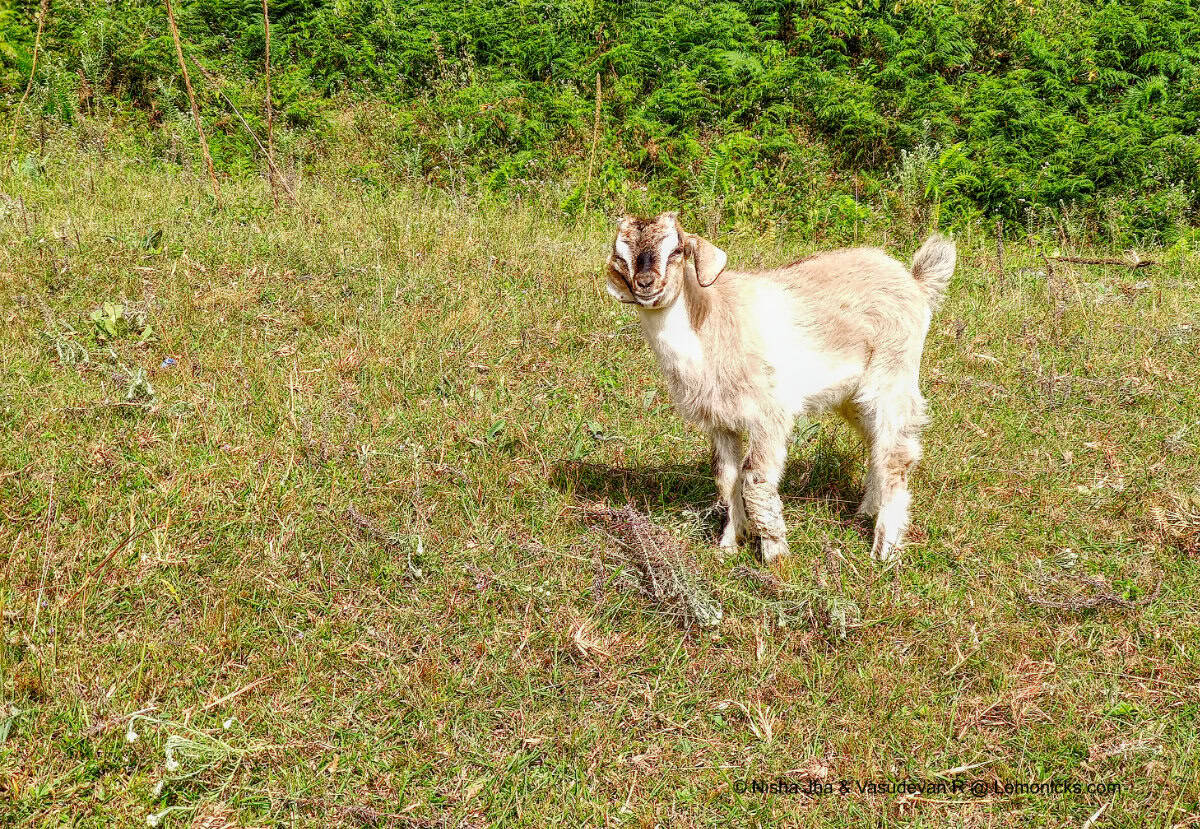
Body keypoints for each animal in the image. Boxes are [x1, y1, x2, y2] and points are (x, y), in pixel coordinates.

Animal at [604, 212, 955, 563]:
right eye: (620, 256)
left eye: (676, 251)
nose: (645, 284)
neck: (709, 320)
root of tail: (914, 281)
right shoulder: (719, 420)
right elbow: (726, 476)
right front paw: (729, 544)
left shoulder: (770, 413)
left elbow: (755, 478)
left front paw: (775, 555)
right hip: (853, 394)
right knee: (876, 443)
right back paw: (866, 511)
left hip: (894, 373)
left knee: (896, 453)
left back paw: (884, 551)